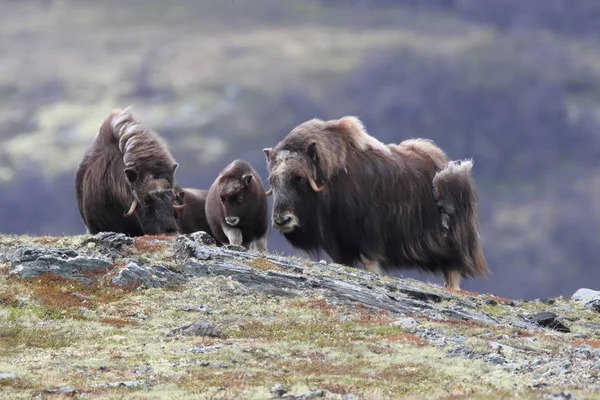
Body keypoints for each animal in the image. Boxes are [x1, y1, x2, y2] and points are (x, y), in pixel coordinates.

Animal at [264, 114, 490, 290]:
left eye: (299, 178)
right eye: (272, 180)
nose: (281, 220)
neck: (331, 179)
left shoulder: (368, 238)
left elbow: (370, 263)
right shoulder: (338, 244)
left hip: (453, 245)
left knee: (453, 271)